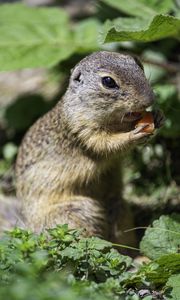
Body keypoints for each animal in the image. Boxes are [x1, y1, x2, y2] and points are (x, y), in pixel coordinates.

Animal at [15, 51, 163, 244]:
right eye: (108, 81)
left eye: (139, 64)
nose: (149, 99)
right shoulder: (83, 131)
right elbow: (106, 145)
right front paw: (134, 134)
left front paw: (158, 116)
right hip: (79, 212)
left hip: (120, 209)